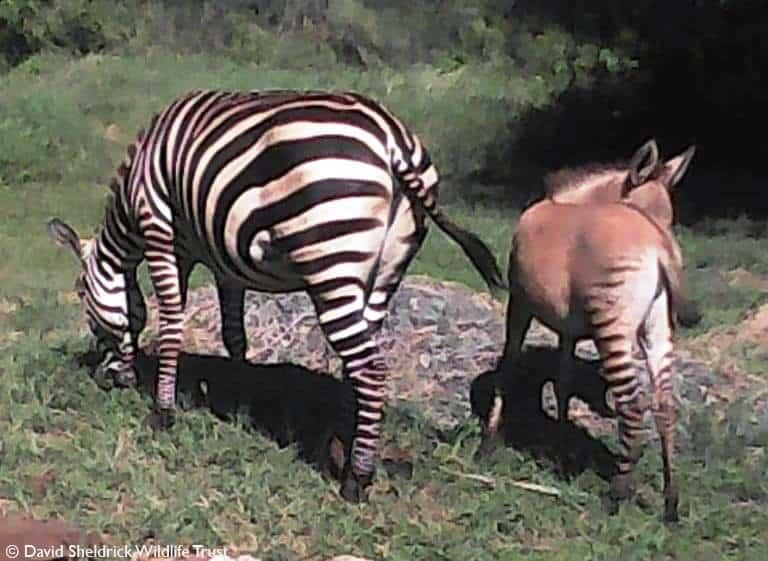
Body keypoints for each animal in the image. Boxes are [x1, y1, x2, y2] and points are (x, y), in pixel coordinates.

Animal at [47, 88, 505, 502]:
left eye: (82, 297)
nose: (109, 378)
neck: (132, 197)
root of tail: (393, 139)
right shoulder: (220, 258)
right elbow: (234, 335)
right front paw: (236, 404)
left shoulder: (162, 229)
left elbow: (171, 318)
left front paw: (163, 411)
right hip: (385, 271)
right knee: (359, 365)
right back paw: (343, 444)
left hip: (330, 257)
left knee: (370, 369)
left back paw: (357, 479)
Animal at [478, 140, 695, 521]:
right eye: (663, 216)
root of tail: (656, 250)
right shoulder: (569, 328)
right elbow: (563, 383)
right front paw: (560, 449)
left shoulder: (519, 303)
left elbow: (508, 367)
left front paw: (487, 444)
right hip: (656, 331)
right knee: (665, 406)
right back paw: (670, 505)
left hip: (613, 327)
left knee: (632, 407)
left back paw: (616, 496)